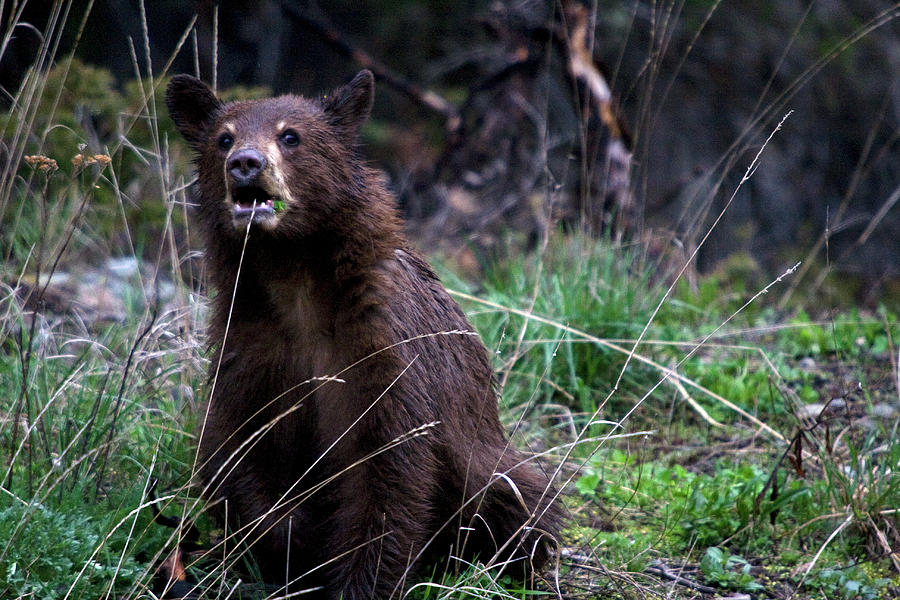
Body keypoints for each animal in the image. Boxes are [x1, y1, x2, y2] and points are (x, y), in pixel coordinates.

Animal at [165, 70, 561, 599]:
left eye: (290, 136)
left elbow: (389, 469)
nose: (245, 163)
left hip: (490, 461)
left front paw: (361, 581)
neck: (296, 281)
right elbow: (238, 448)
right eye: (223, 137)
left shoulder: (383, 349)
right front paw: (295, 542)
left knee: (520, 501)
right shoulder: (251, 343)